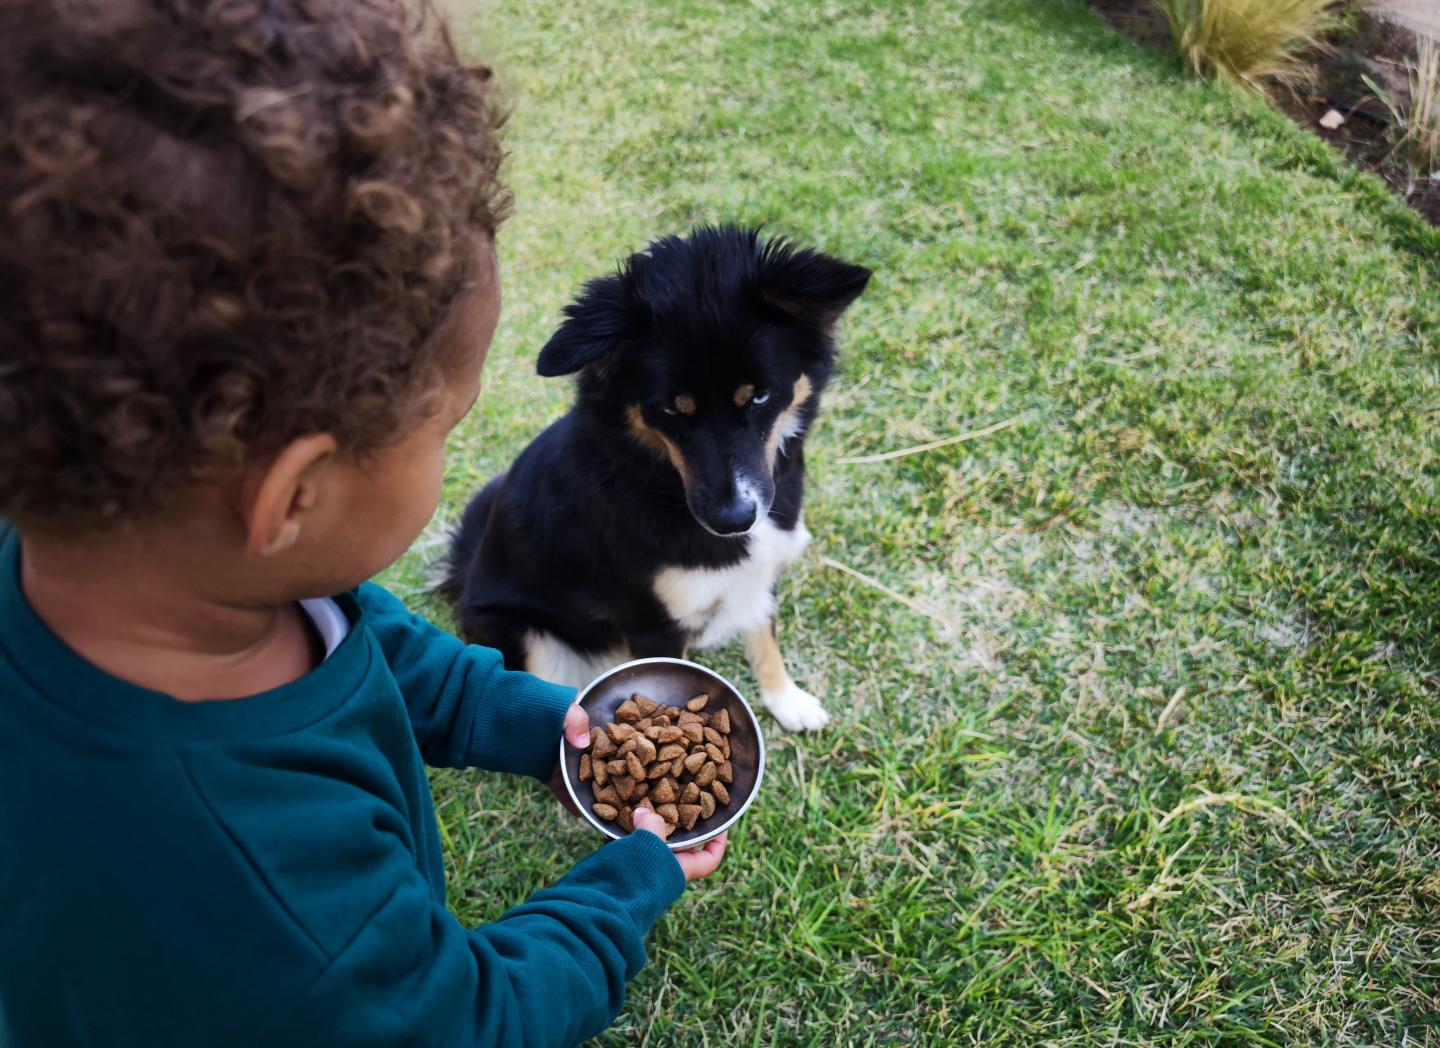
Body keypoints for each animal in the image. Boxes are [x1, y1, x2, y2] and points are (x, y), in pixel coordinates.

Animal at [437, 224, 864, 728]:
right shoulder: (653, 625)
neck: (657, 476)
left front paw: (785, 699)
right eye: (671, 411)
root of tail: (465, 576)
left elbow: (764, 635)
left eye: (759, 396)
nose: (734, 520)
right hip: (525, 636)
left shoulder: (760, 573)